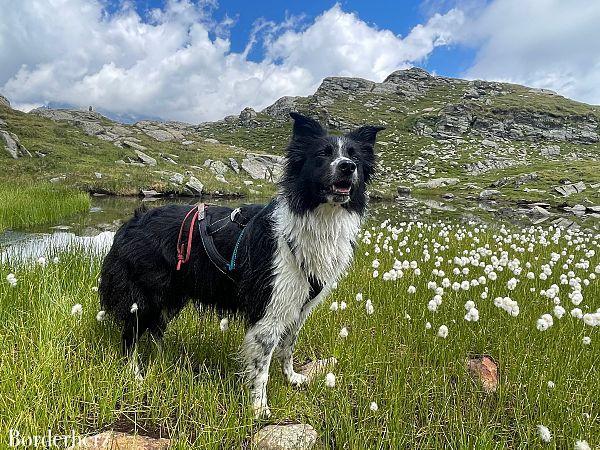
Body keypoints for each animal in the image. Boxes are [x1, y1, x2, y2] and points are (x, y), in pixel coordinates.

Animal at [99, 112, 384, 418]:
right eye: (323, 154)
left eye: (354, 156)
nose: (347, 167)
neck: (318, 217)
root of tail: (132, 221)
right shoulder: (269, 307)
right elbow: (262, 366)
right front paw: (259, 408)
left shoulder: (298, 305)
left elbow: (288, 346)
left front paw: (291, 378)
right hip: (144, 297)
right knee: (131, 335)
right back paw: (135, 374)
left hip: (172, 295)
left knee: (155, 329)